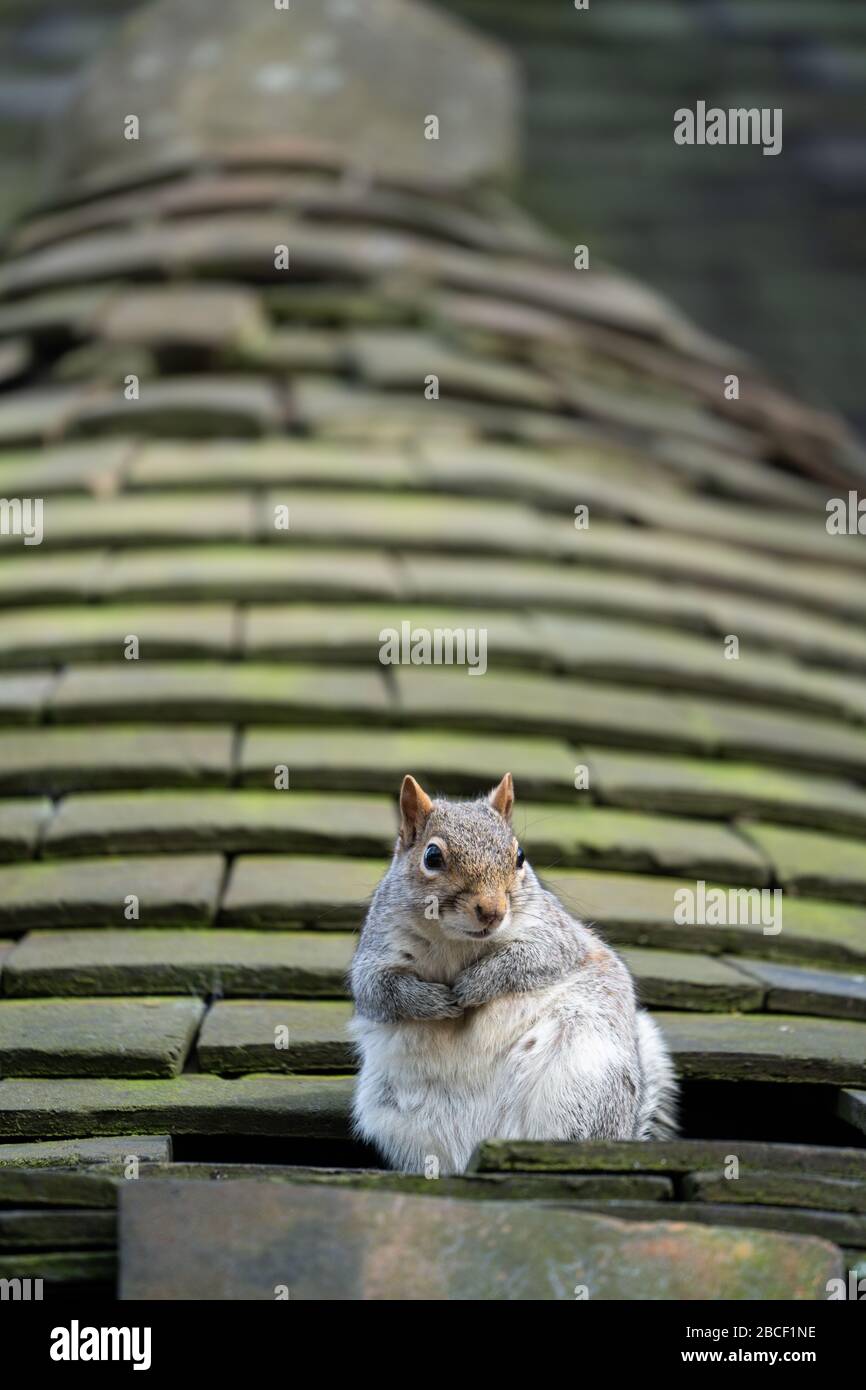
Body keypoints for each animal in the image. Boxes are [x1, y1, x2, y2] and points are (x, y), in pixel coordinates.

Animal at [348, 772, 681, 1173]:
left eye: (519, 856)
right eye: (432, 856)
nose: (492, 911)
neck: (456, 943)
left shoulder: (554, 937)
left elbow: (527, 961)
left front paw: (472, 986)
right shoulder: (378, 952)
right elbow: (379, 991)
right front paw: (433, 1001)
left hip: (581, 1077)